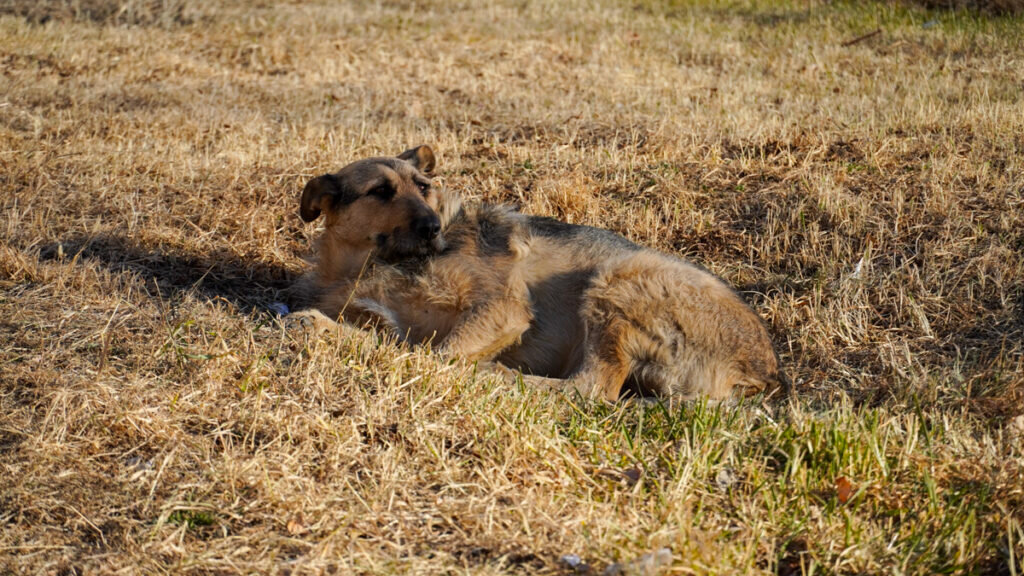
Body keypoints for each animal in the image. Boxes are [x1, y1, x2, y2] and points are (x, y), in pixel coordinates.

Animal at [288, 144, 782, 399]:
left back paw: (500, 376)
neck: (370, 263)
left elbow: (429, 354)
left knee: (591, 389)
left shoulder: (504, 309)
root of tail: (764, 373)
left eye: (424, 187)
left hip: (621, 275)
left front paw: (321, 328)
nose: (433, 228)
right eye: (380, 191)